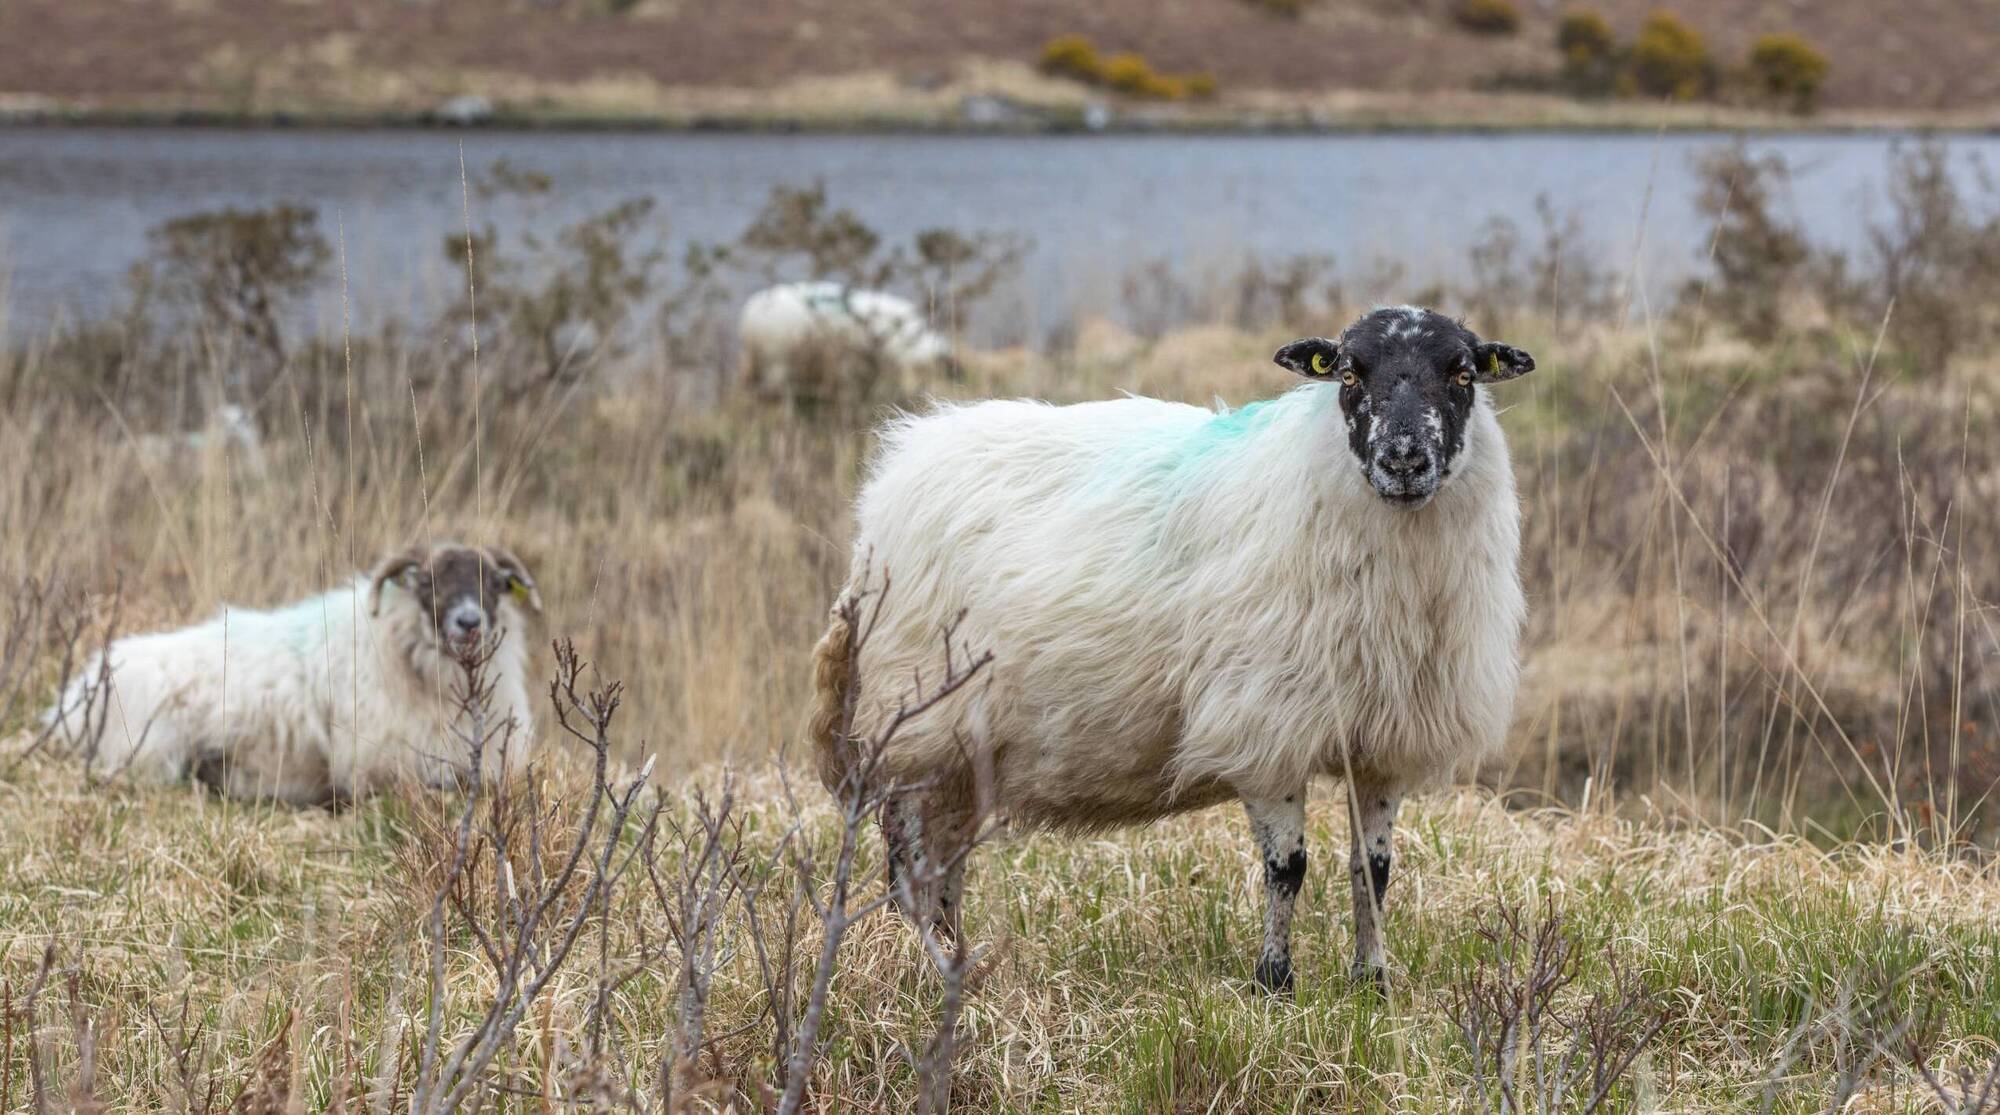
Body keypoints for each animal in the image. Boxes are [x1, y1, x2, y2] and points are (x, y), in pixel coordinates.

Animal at [809, 305, 1537, 991]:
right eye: (1349, 373)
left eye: (1463, 374)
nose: (1404, 461)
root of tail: (891, 483)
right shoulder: (1263, 722)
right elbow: (1288, 867)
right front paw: (1274, 984)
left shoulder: (1384, 740)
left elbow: (1374, 870)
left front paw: (1372, 984)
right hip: (918, 723)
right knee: (910, 866)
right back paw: (928, 966)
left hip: (958, 753)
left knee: (943, 865)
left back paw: (954, 958)